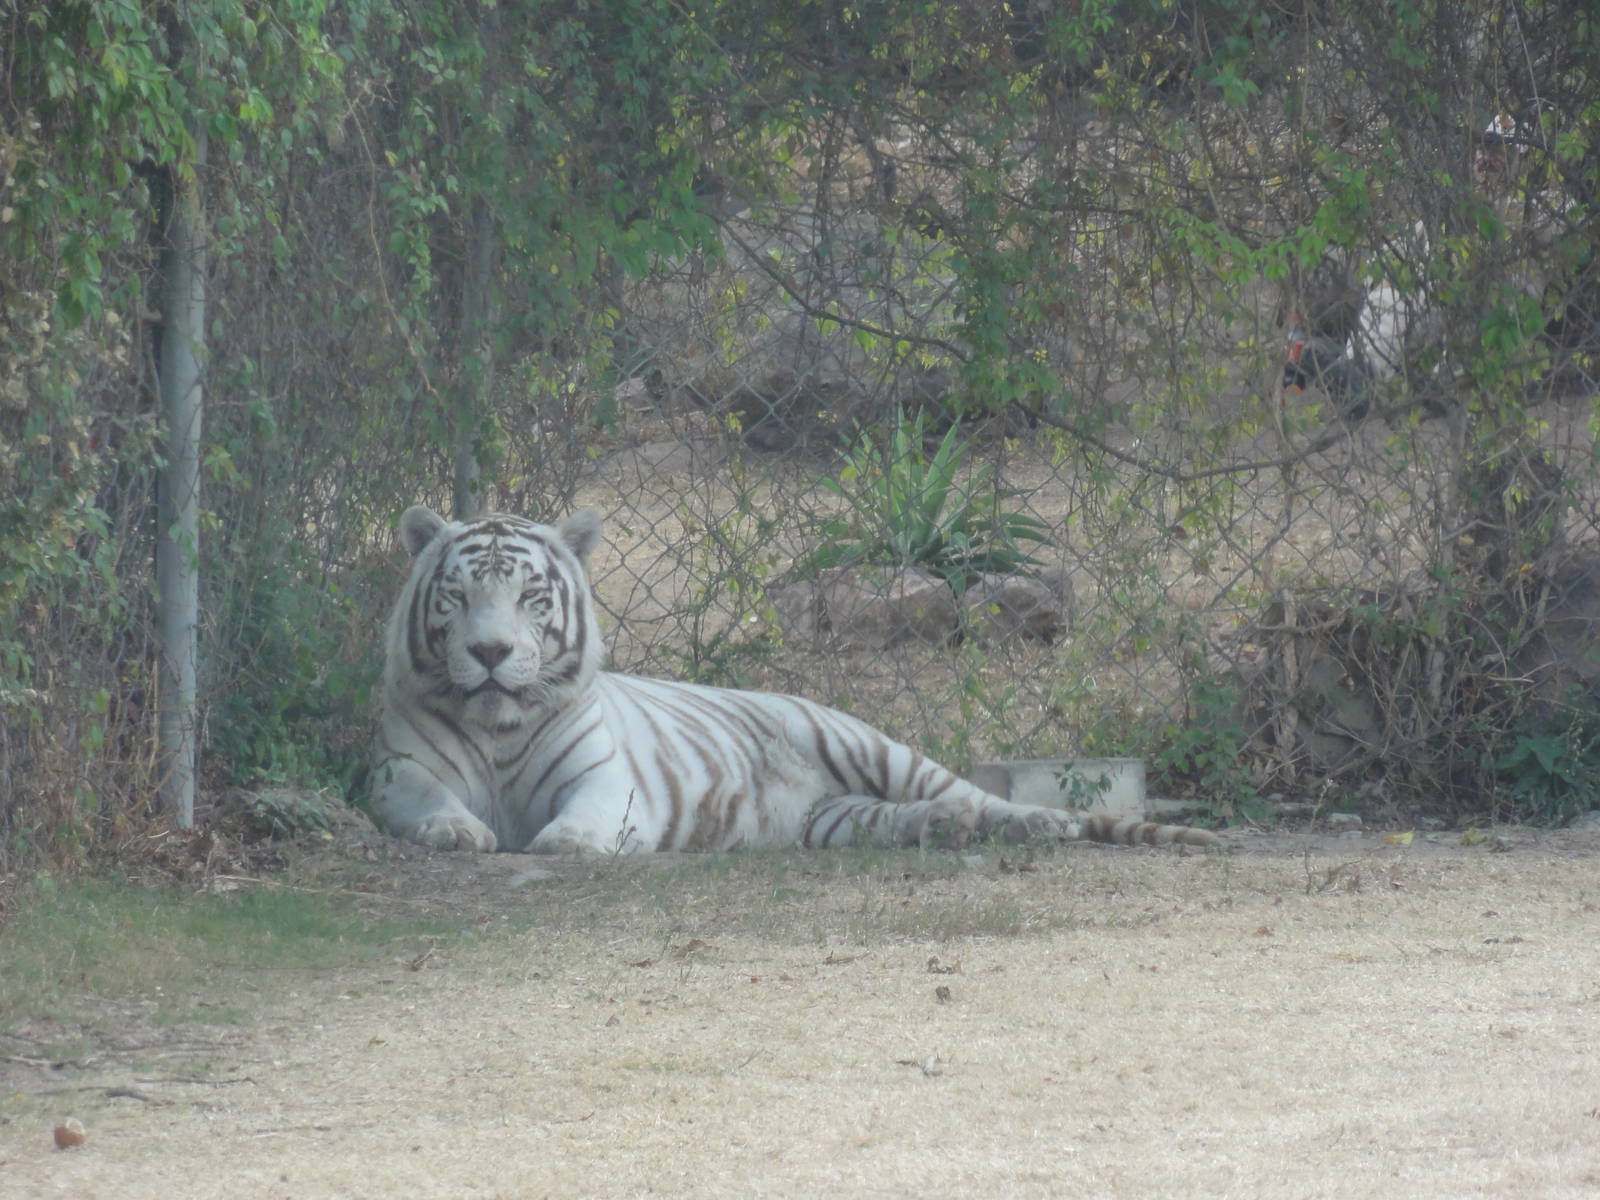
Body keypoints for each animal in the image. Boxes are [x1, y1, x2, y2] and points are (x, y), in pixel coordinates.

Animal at [369, 505, 1219, 855]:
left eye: (530, 598)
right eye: (458, 597)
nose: (489, 652)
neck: (500, 725)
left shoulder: (607, 777)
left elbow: (589, 811)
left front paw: (569, 841)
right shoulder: (400, 771)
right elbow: (430, 802)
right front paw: (455, 830)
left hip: (874, 747)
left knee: (980, 797)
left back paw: (1032, 825)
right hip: (833, 818)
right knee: (904, 820)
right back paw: (941, 831)